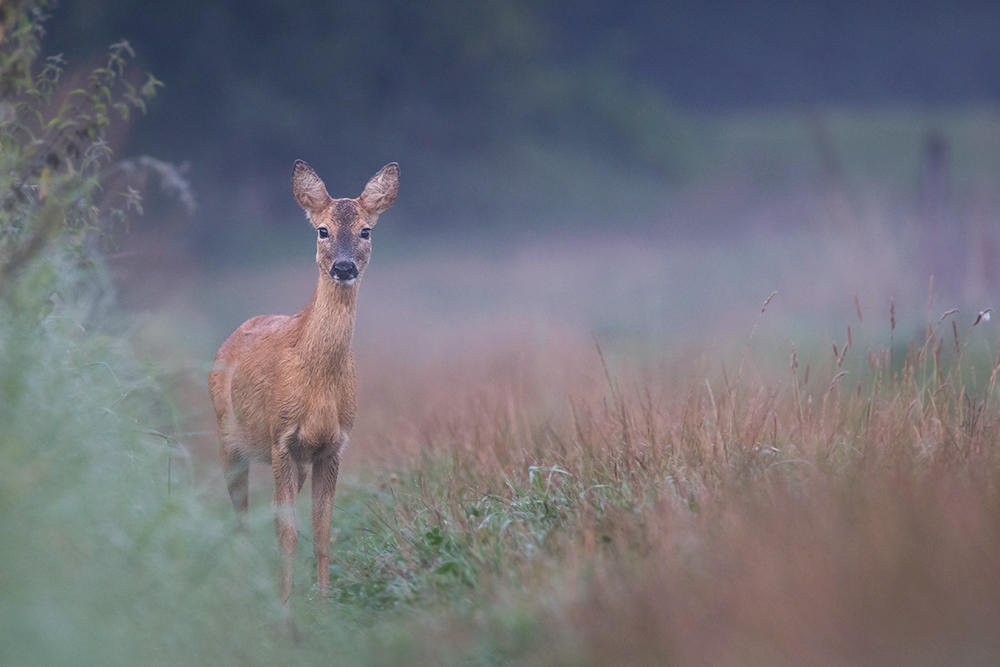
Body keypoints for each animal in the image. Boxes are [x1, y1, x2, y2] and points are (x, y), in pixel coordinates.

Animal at [208, 160, 398, 604]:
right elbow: (286, 533)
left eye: (366, 230)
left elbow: (324, 533)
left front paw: (324, 604)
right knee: (240, 519)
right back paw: (239, 589)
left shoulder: (332, 445)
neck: (318, 386)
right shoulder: (281, 440)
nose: (343, 268)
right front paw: (285, 609)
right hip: (228, 441)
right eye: (322, 230)